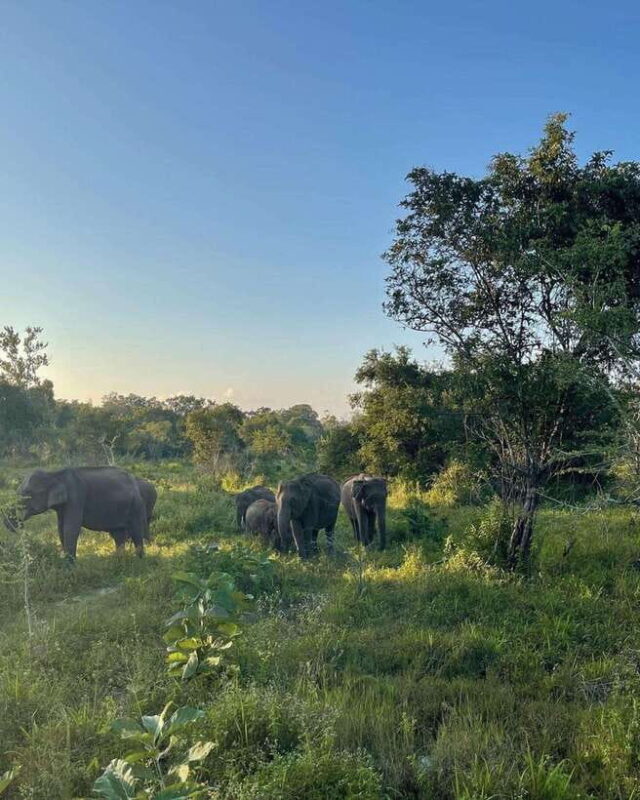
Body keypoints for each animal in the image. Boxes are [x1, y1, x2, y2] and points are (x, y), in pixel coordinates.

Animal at [6, 467, 151, 561]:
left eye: (26, 496)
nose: (19, 526)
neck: (55, 474)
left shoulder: (76, 498)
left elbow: (70, 529)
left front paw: (69, 568)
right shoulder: (63, 507)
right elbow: (61, 529)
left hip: (136, 506)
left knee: (136, 531)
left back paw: (139, 560)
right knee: (118, 534)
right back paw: (119, 560)